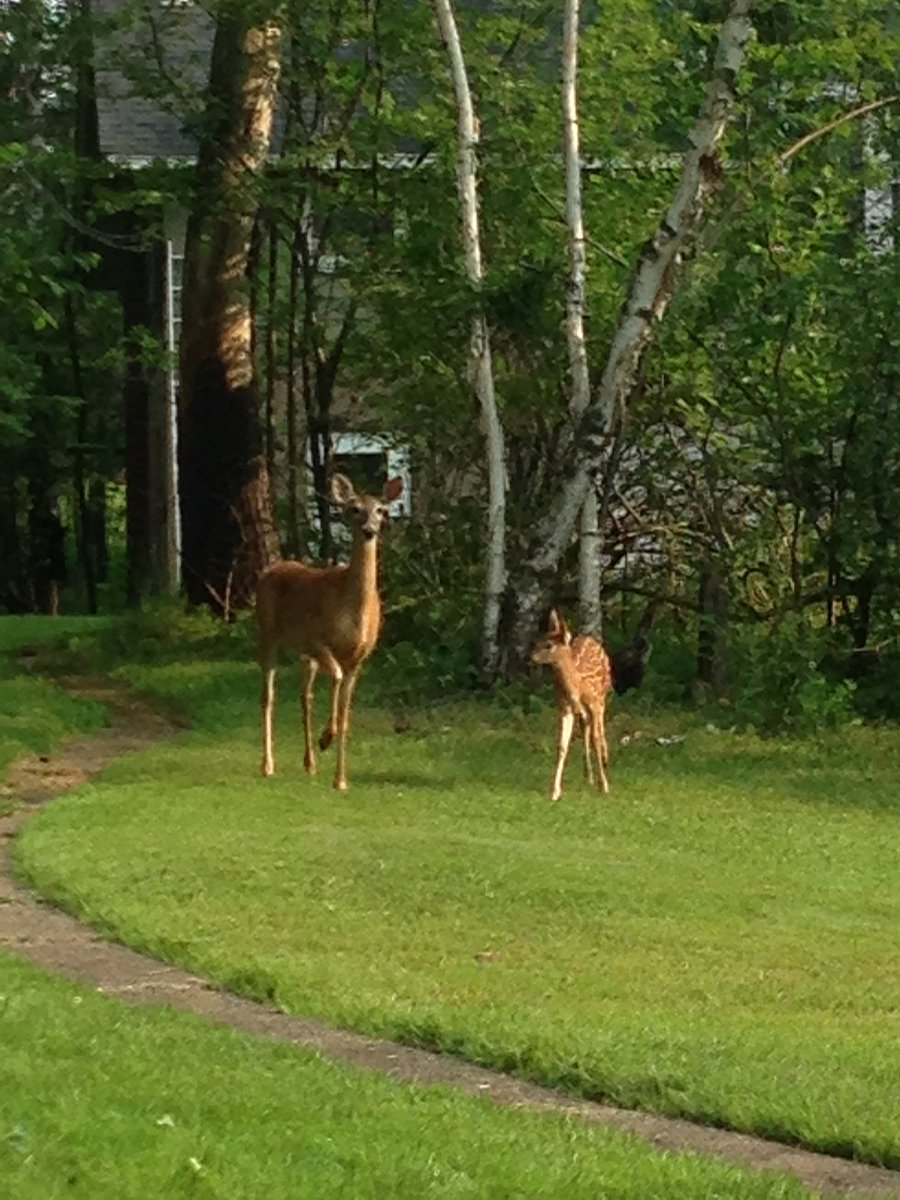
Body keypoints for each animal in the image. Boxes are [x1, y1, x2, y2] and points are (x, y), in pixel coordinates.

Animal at [257, 472, 403, 792]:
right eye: (354, 509)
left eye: (381, 510)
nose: (370, 530)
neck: (353, 611)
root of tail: (271, 568)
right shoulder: (318, 641)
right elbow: (335, 678)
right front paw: (327, 737)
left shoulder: (360, 657)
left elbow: (347, 715)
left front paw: (341, 780)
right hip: (267, 633)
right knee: (268, 696)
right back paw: (268, 765)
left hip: (304, 655)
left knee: (305, 697)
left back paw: (310, 763)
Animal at [531, 609, 613, 802]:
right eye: (538, 640)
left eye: (548, 645)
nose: (531, 657)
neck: (577, 687)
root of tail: (589, 638)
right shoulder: (564, 708)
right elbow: (562, 745)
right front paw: (555, 791)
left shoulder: (594, 703)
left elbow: (596, 739)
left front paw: (604, 785)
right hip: (582, 711)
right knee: (585, 728)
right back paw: (588, 776)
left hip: (603, 696)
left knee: (599, 729)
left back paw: (604, 759)